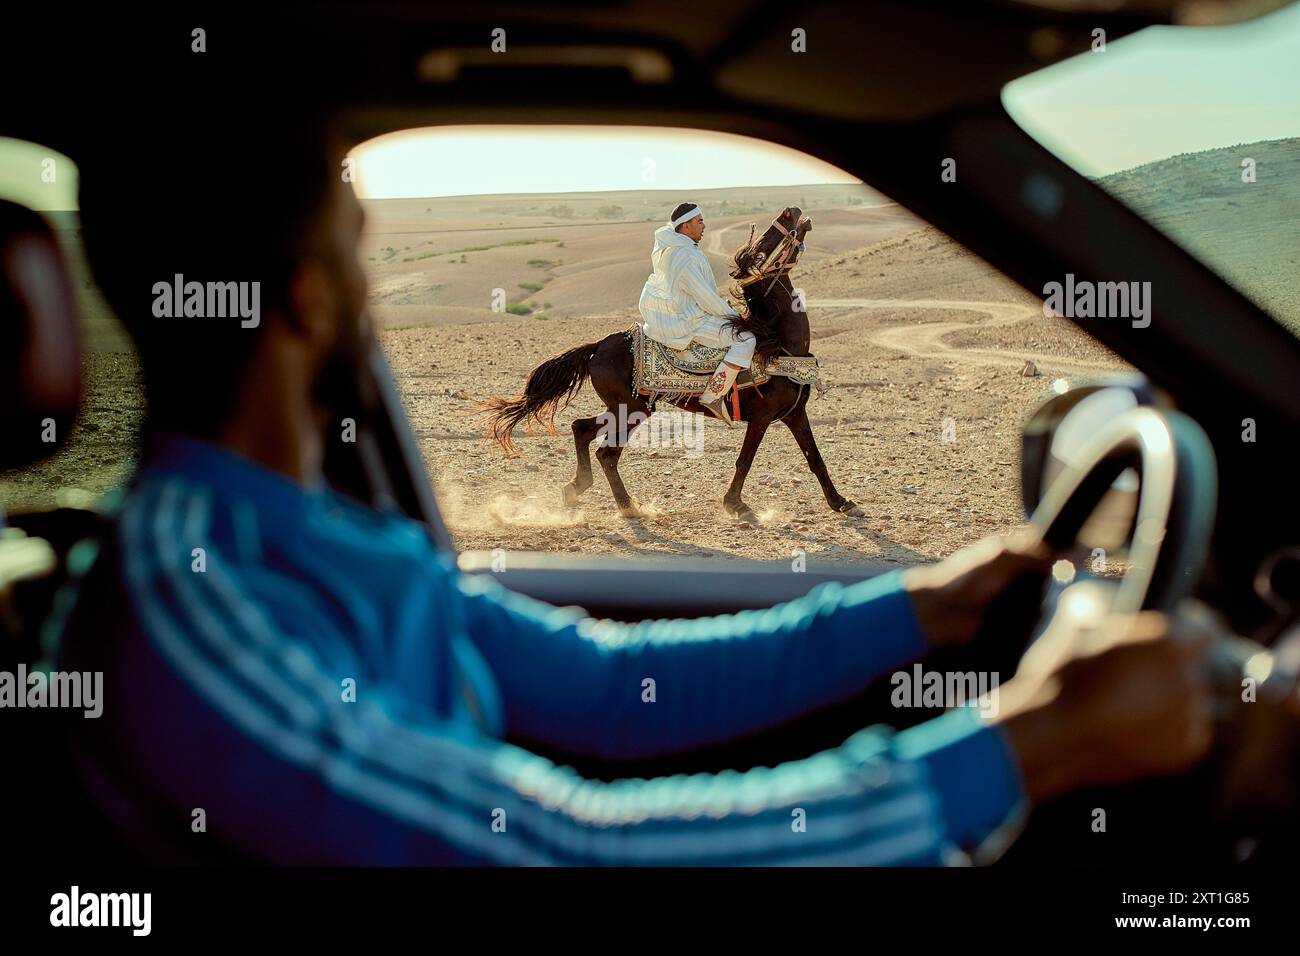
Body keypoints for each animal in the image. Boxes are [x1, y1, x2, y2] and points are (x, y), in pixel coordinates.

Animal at [483, 205, 857, 528]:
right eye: (762, 247)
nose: (791, 211)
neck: (777, 342)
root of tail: (596, 349)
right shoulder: (762, 418)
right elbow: (745, 460)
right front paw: (736, 505)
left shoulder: (794, 414)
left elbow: (815, 458)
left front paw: (841, 502)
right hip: (632, 410)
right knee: (607, 453)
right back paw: (628, 507)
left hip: (624, 407)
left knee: (581, 428)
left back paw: (576, 489)